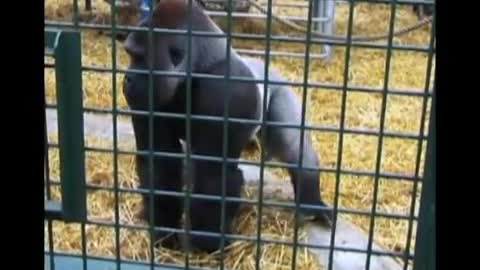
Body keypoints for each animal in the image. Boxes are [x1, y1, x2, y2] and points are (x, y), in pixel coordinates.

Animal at [122, 0, 332, 253]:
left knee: (295, 148)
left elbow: (213, 177)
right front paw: (165, 231)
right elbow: (161, 164)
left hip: (280, 88)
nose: (128, 78)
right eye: (131, 55)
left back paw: (311, 202)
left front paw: (206, 243)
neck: (199, 65)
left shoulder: (226, 92)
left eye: (140, 58)